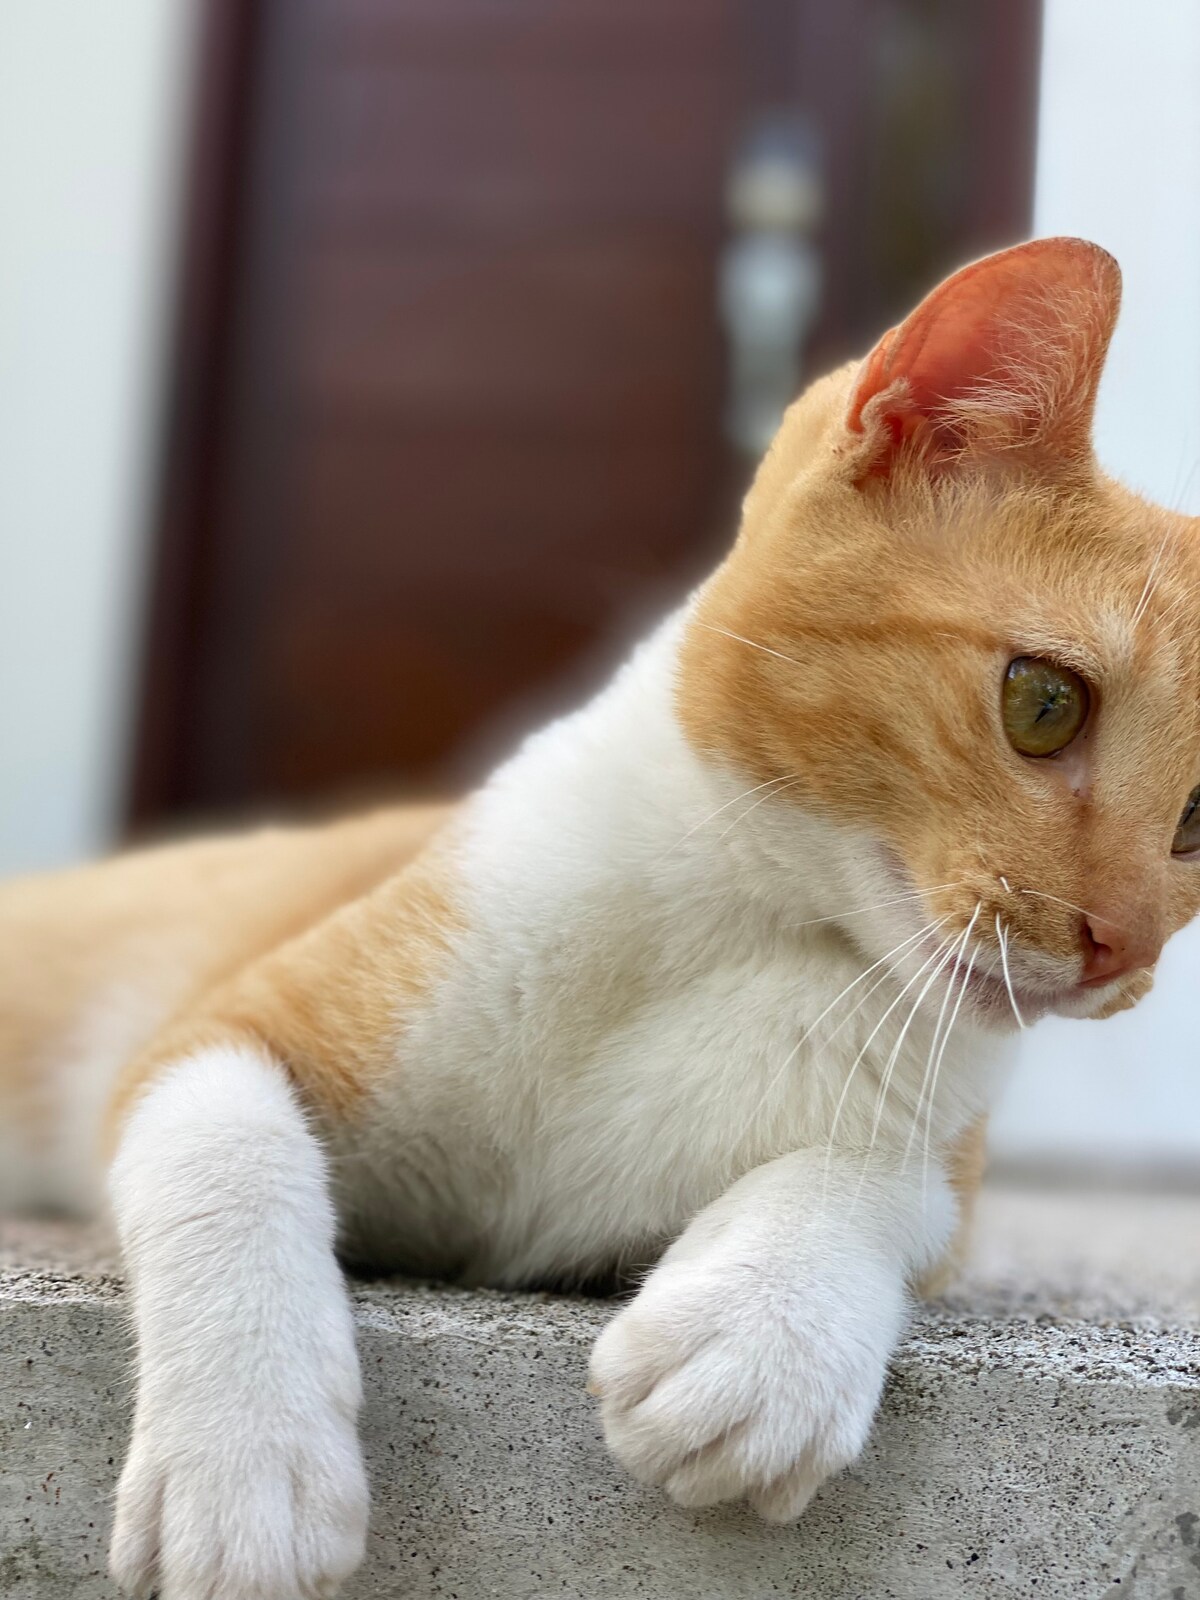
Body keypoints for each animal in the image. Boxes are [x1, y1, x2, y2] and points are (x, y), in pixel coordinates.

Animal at [3, 236, 1198, 1600]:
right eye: (1043, 703)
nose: (1123, 946)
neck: (752, 927)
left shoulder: (937, 1145)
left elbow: (898, 1180)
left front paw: (765, 1334)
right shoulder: (220, 1029)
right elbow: (224, 1146)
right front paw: (247, 1464)